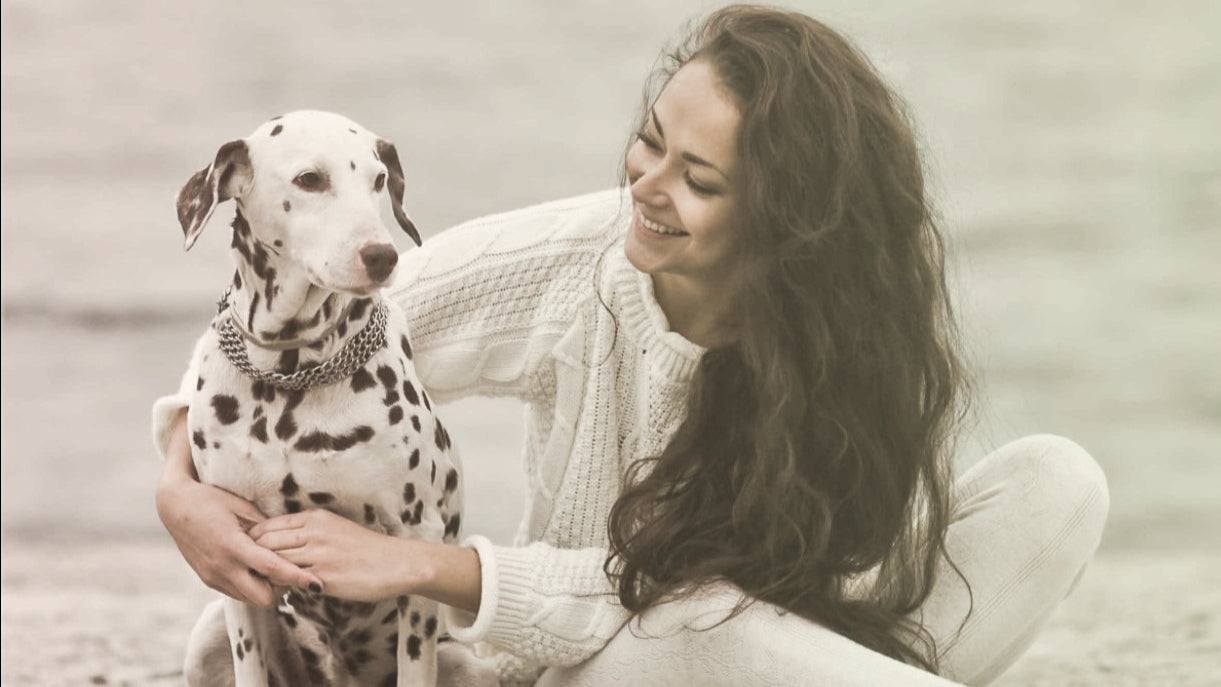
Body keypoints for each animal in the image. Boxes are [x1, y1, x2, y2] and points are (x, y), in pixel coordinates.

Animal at [169, 110, 459, 683]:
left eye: (378, 180)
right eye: (310, 179)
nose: (382, 255)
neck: (290, 380)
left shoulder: (417, 540)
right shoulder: (235, 556)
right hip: (207, 640)